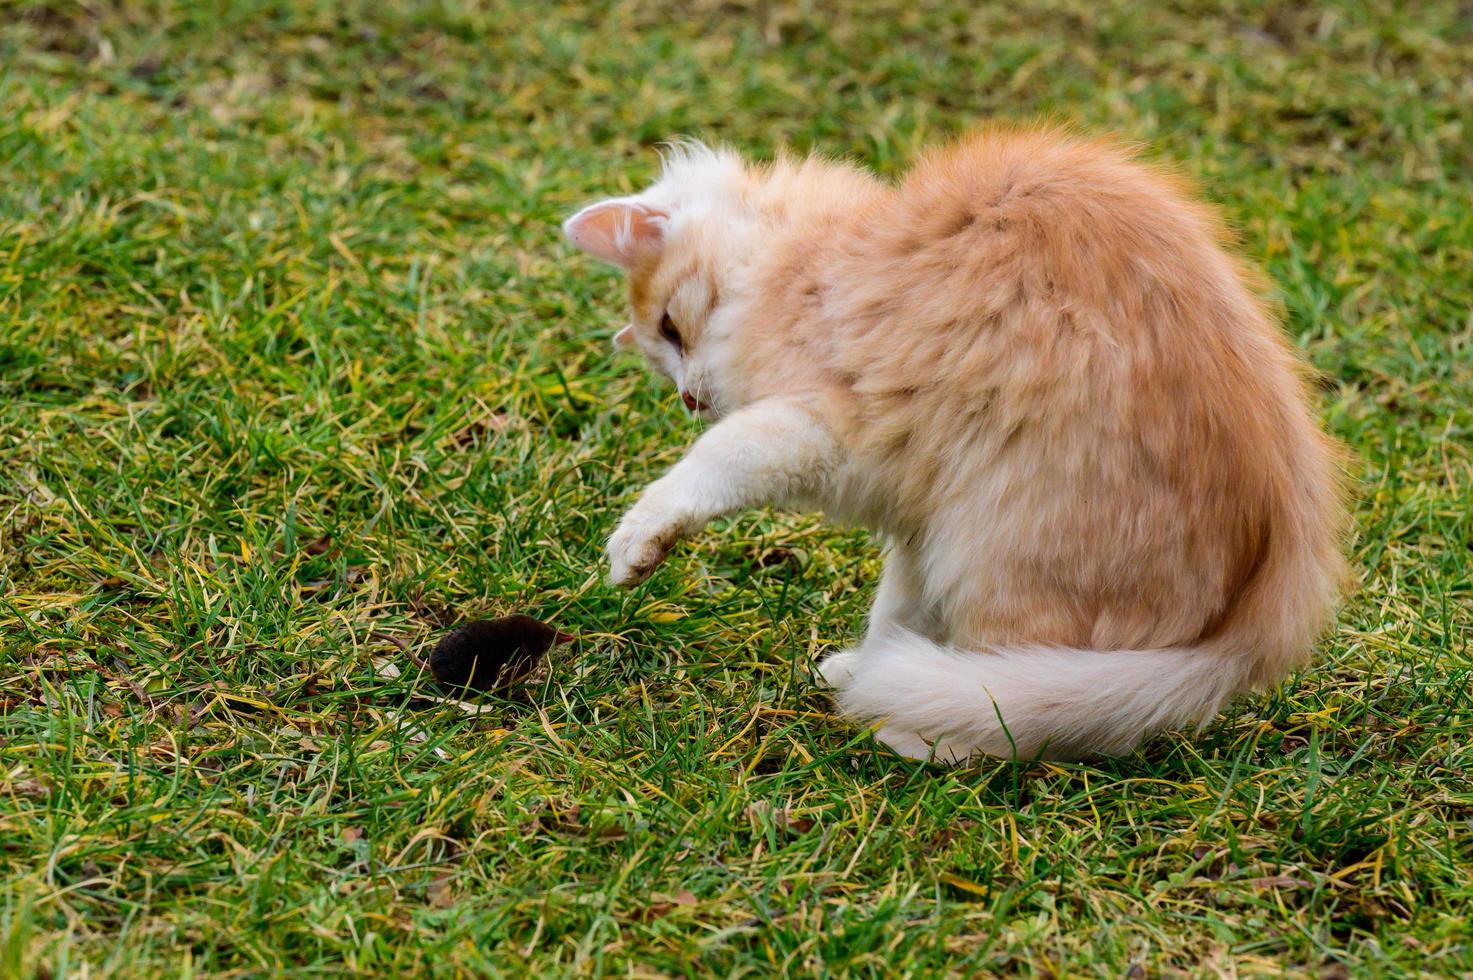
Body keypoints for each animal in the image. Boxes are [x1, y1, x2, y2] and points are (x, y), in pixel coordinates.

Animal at [559, 126, 1349, 760]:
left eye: (670, 328)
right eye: (662, 357)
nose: (692, 398)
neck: (806, 255)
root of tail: (1245, 637)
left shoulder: (819, 428)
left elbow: (711, 465)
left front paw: (636, 543)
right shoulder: (913, 523)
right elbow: (894, 612)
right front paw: (866, 666)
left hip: (1002, 551)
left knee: (1024, 720)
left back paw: (917, 736)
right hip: (960, 539)